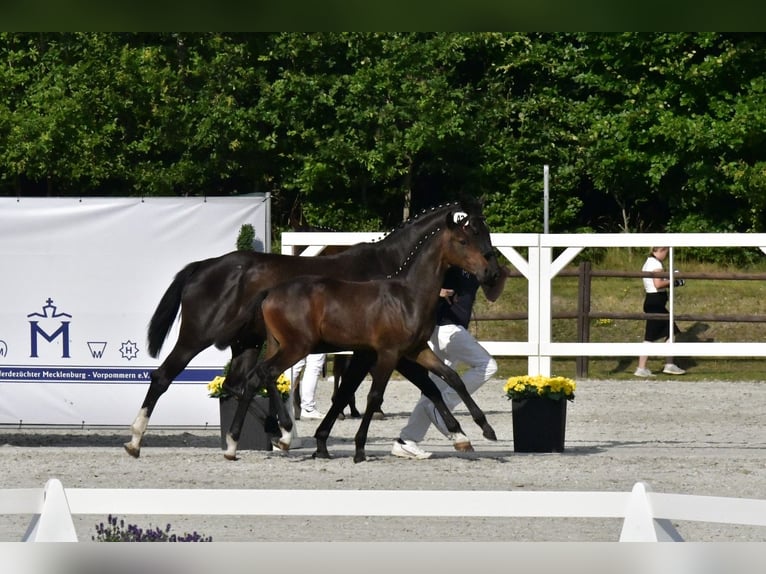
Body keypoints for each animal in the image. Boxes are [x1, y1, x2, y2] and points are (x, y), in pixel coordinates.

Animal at [124, 198, 499, 458]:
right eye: (472, 233)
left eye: (487, 231)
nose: (493, 275)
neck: (393, 270)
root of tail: (202, 266)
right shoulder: (378, 351)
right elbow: (394, 388)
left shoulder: (381, 350)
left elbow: (428, 384)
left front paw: (461, 434)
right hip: (197, 338)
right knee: (164, 377)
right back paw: (136, 439)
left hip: (248, 344)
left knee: (238, 384)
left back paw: (274, 433)